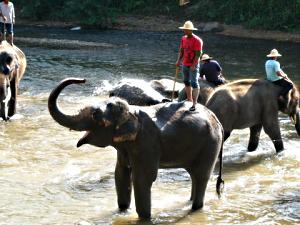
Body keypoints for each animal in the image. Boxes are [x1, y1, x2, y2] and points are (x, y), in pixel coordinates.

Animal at [48, 78, 224, 219]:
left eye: (96, 116)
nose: (83, 80)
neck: (132, 112)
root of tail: (217, 121)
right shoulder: (125, 148)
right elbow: (120, 175)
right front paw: (122, 211)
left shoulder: (147, 143)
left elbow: (142, 179)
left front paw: (144, 218)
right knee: (194, 175)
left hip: (211, 144)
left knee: (201, 175)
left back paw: (195, 208)